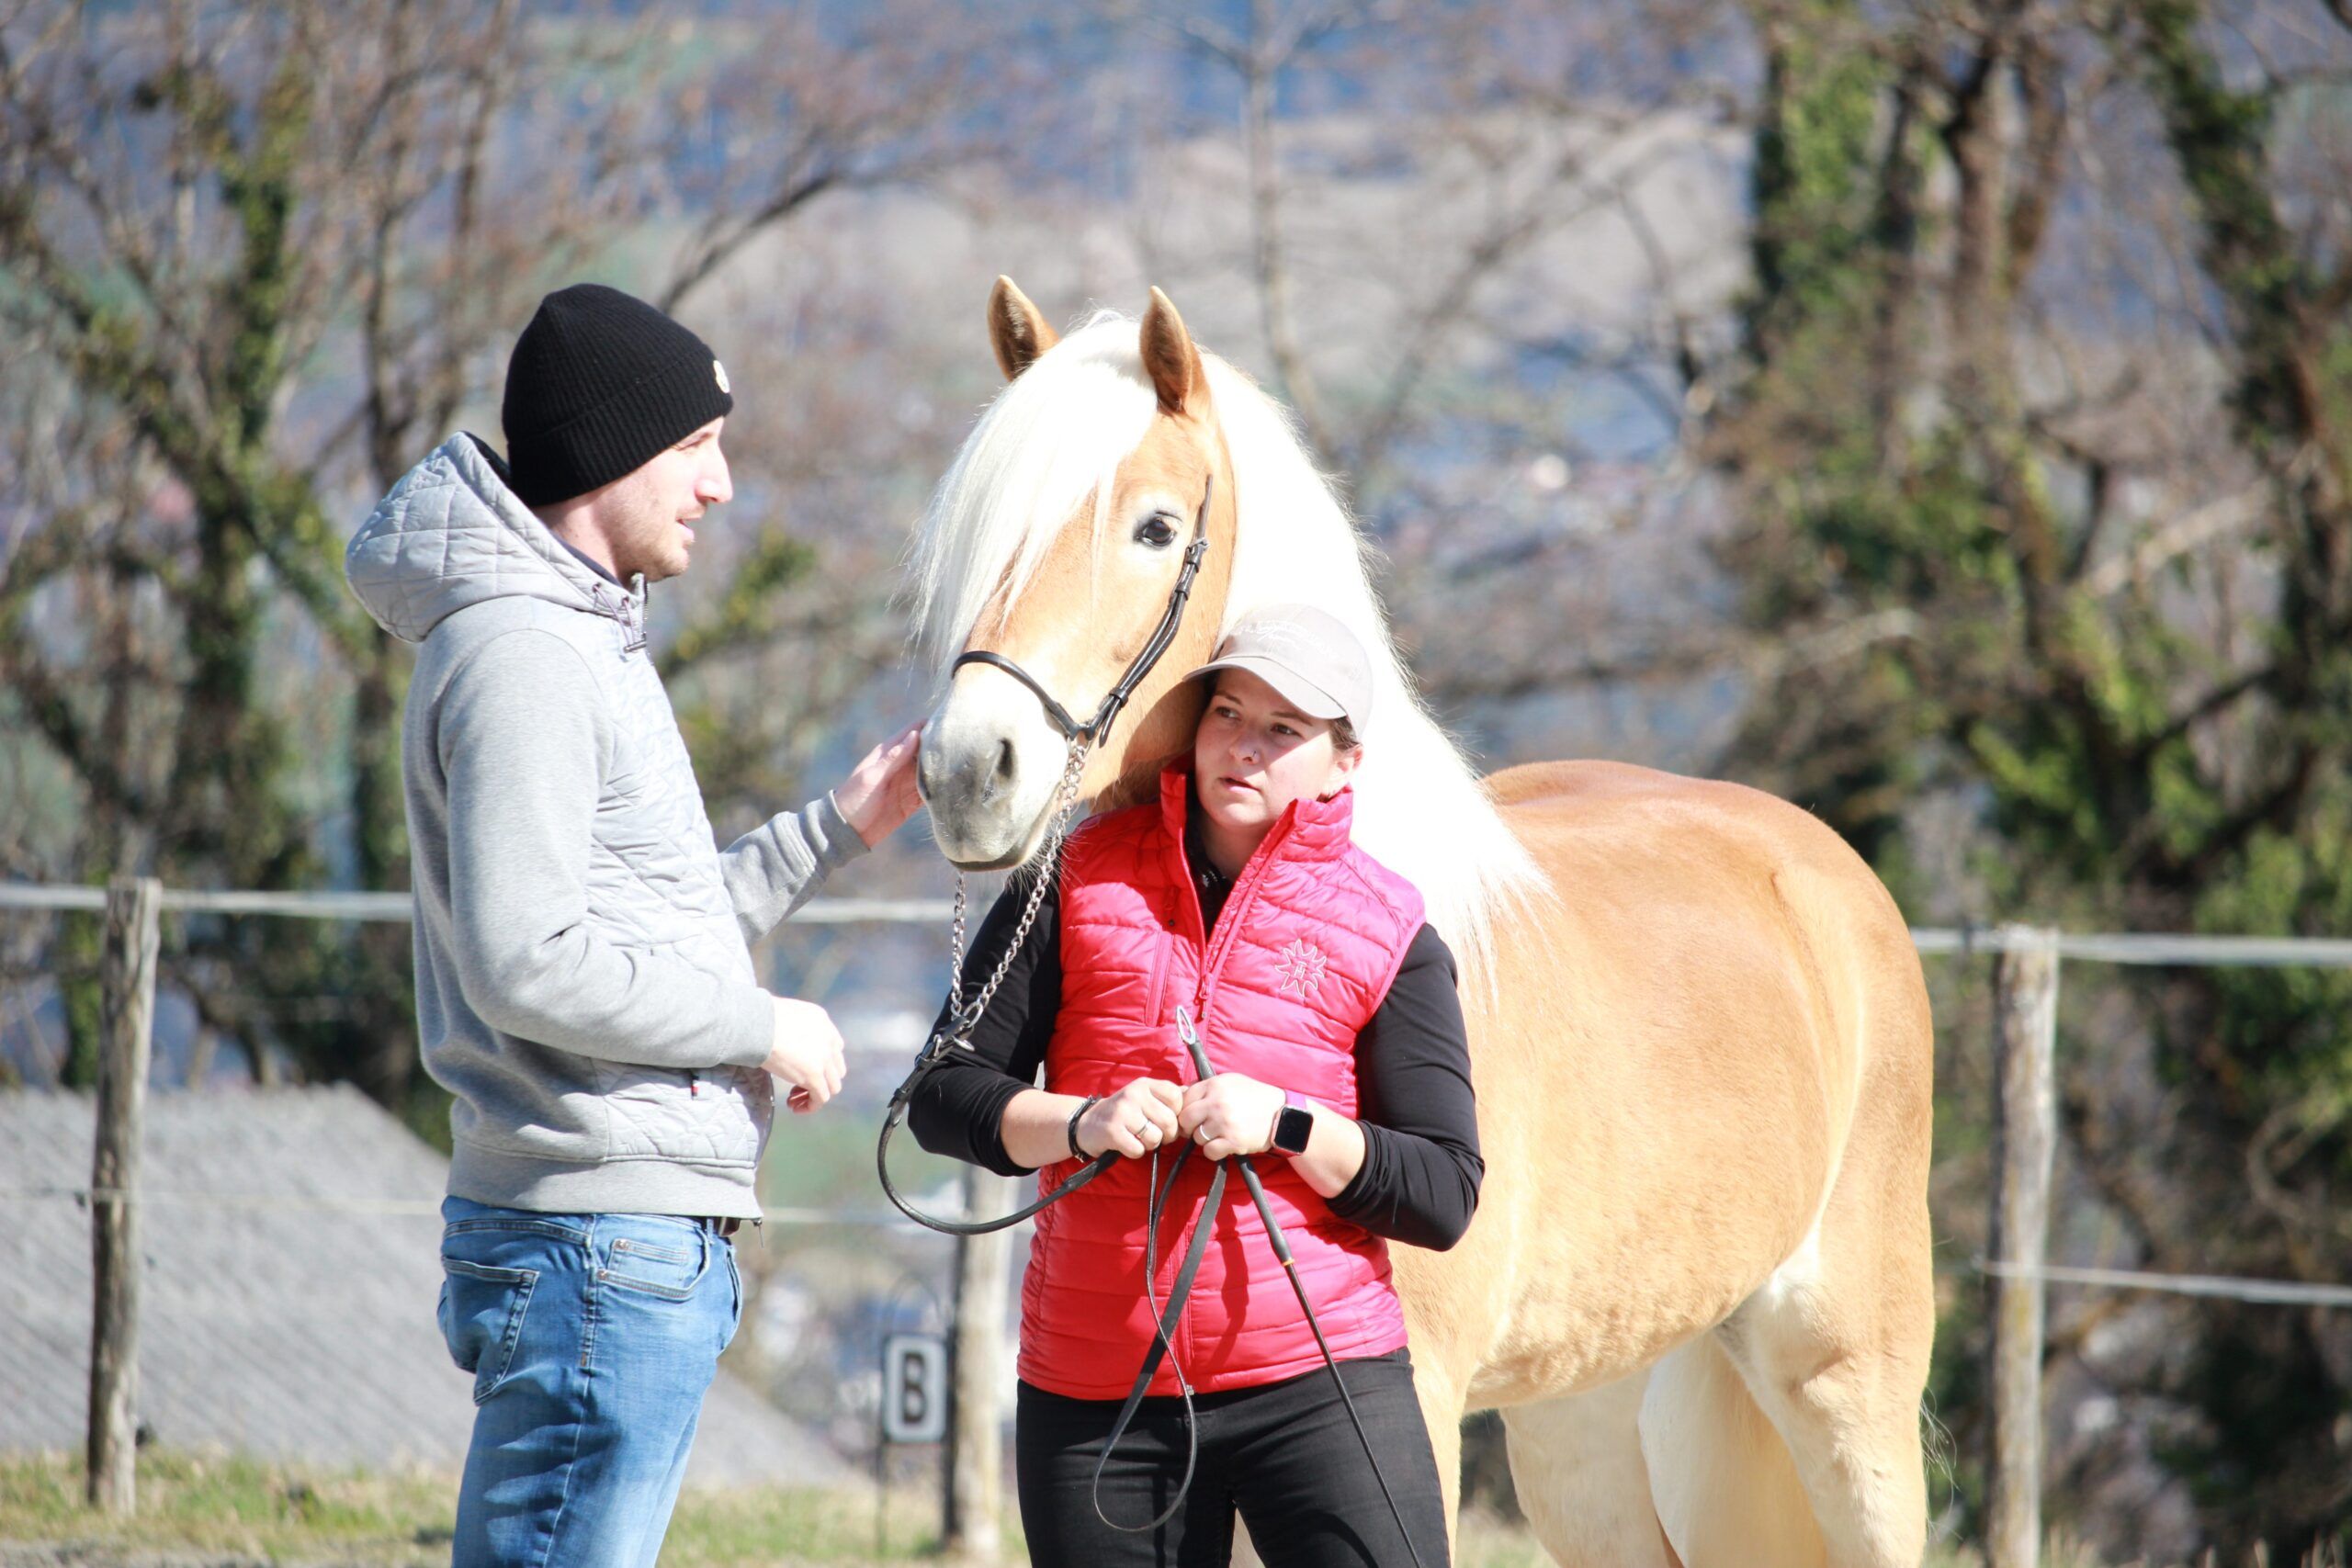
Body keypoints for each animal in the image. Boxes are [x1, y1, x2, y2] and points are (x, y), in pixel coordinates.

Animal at [908, 277, 1935, 1568]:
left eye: (1151, 528)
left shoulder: (1421, 1408)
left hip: (1846, 1387)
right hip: (1584, 1420)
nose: (965, 771)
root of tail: (1820, 867)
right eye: (974, 535)